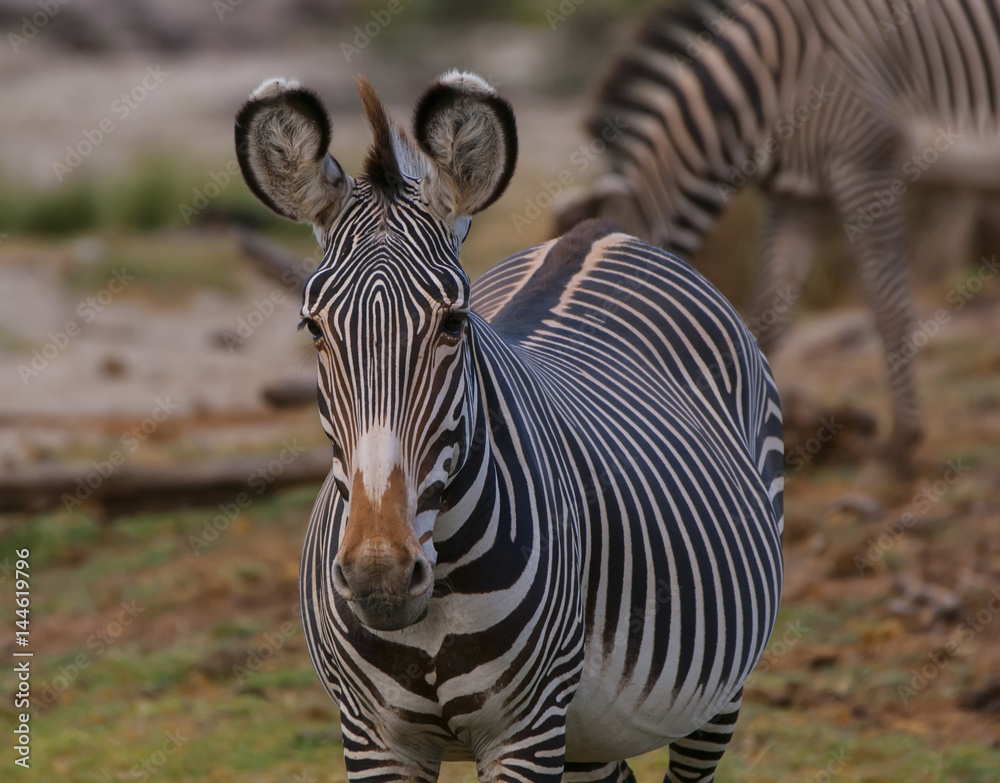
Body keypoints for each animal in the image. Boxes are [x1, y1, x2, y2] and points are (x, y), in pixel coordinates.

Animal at [235, 71, 783, 782]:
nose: (381, 575)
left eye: (453, 322)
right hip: (591, 733)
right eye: (313, 328)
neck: (434, 603)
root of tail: (602, 231)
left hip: (715, 690)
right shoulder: (373, 736)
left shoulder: (527, 730)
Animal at [555, 0, 1000, 465]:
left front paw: (901, 442)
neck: (765, 90)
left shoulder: (865, 162)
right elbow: (769, 318)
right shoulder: (798, 197)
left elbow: (887, 303)